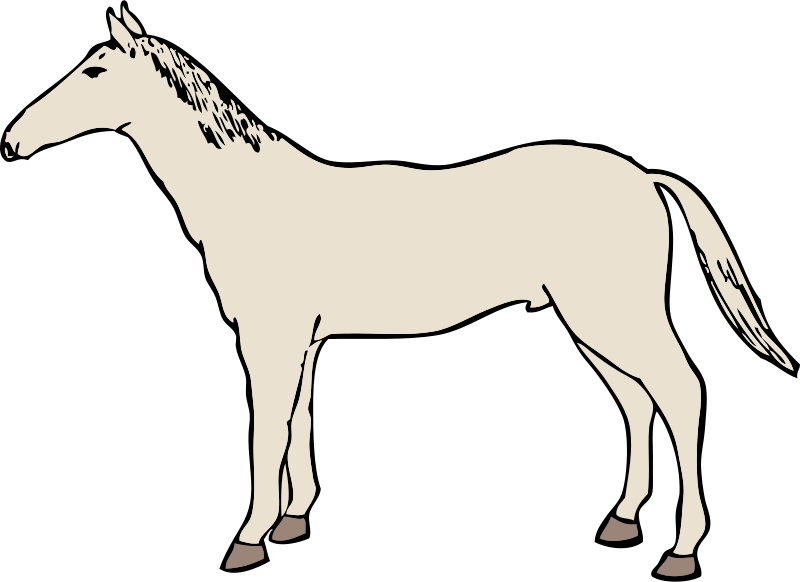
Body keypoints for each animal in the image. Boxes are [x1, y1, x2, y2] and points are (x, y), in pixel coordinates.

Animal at [4, 8, 792, 577]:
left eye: (94, 68)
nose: (12, 140)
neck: (256, 201)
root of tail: (643, 177)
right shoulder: (304, 340)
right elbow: (300, 423)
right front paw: (294, 518)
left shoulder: (270, 337)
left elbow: (268, 430)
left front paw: (251, 534)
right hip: (588, 324)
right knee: (637, 403)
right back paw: (622, 519)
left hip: (614, 316)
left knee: (680, 393)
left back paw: (682, 549)